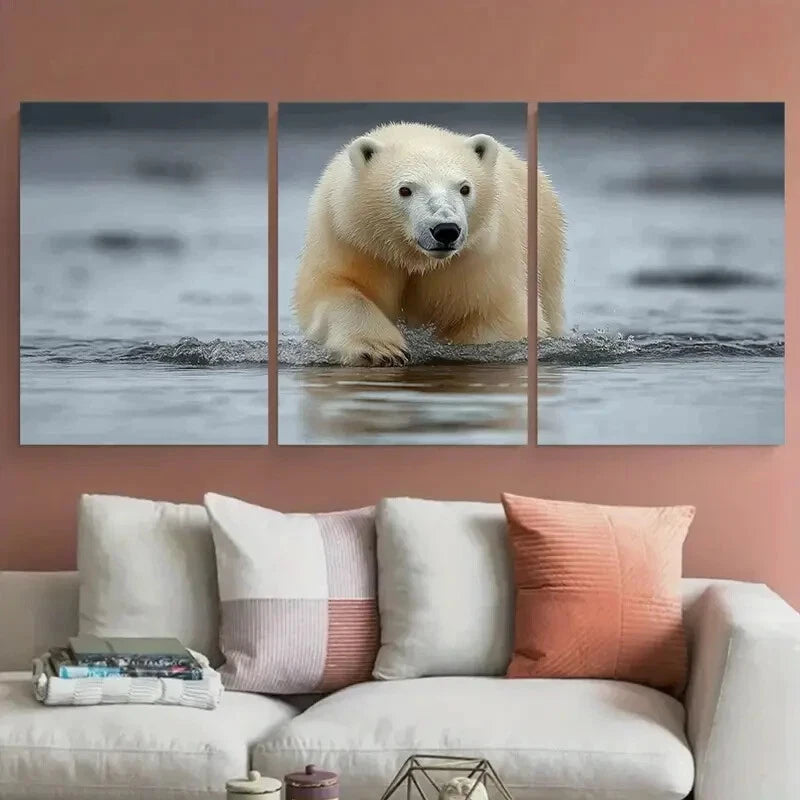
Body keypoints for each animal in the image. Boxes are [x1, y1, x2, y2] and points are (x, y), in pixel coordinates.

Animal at [293, 122, 565, 366]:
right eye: (405, 189)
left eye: (465, 188)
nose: (446, 230)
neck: (414, 257)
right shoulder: (354, 241)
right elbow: (335, 289)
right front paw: (382, 350)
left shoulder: (478, 257)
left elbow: (495, 313)